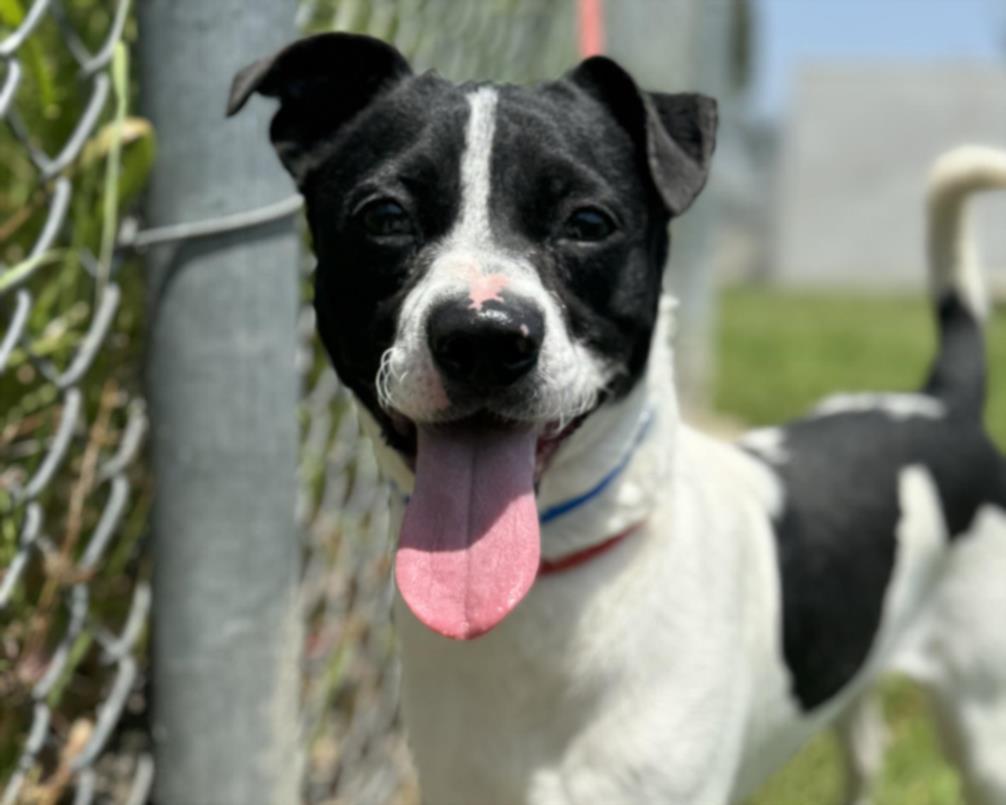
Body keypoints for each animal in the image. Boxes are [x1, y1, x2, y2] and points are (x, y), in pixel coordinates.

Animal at [228, 32, 1006, 805]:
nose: (483, 337)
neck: (552, 579)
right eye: (385, 217)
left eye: (588, 223)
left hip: (983, 729)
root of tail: (941, 402)